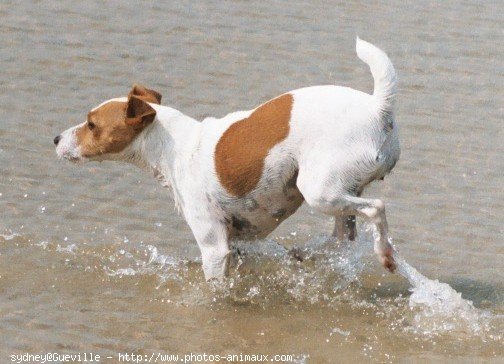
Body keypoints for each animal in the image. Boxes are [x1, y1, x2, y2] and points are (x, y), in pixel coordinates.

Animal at [55, 37, 400, 282]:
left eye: (91, 125)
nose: (56, 139)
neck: (174, 145)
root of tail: (378, 108)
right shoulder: (237, 243)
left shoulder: (214, 247)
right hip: (339, 193)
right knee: (343, 238)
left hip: (318, 192)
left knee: (377, 209)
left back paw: (385, 254)